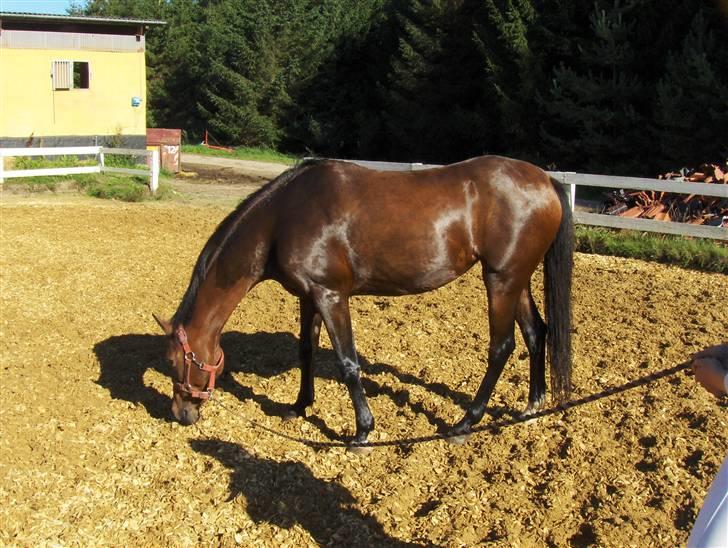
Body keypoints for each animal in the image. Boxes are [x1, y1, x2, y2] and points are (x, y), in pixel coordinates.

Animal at [154, 154, 576, 450]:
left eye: (173, 362)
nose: (180, 414)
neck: (283, 218)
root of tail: (546, 181)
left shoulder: (331, 295)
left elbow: (348, 362)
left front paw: (362, 431)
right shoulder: (309, 297)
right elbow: (306, 349)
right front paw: (299, 406)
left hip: (501, 280)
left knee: (501, 347)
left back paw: (465, 423)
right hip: (515, 279)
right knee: (536, 332)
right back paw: (530, 407)